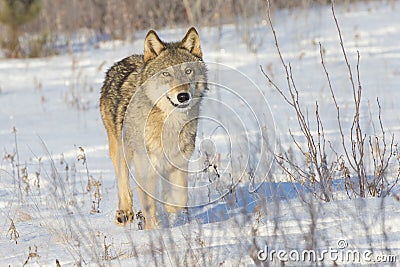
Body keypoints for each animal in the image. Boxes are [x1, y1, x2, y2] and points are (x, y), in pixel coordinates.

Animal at [100, 27, 208, 229]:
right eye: (166, 74)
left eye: (188, 71)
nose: (183, 96)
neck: (168, 125)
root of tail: (123, 60)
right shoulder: (145, 166)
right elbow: (149, 204)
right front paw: (154, 231)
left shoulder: (179, 163)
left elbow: (179, 197)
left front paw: (169, 205)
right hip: (120, 150)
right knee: (123, 183)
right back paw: (124, 214)